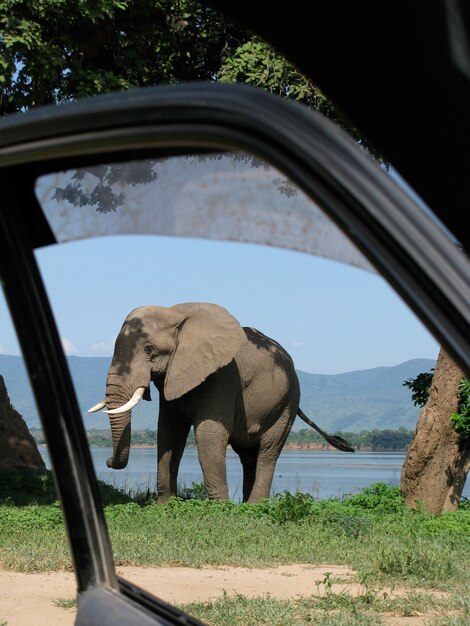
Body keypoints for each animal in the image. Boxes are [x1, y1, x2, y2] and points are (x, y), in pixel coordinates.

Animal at [88, 302, 352, 502]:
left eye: (149, 349)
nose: (107, 462)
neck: (176, 313)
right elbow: (169, 433)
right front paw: (165, 505)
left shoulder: (224, 375)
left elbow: (208, 434)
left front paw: (221, 508)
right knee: (248, 455)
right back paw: (245, 504)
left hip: (288, 400)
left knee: (268, 452)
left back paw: (254, 506)